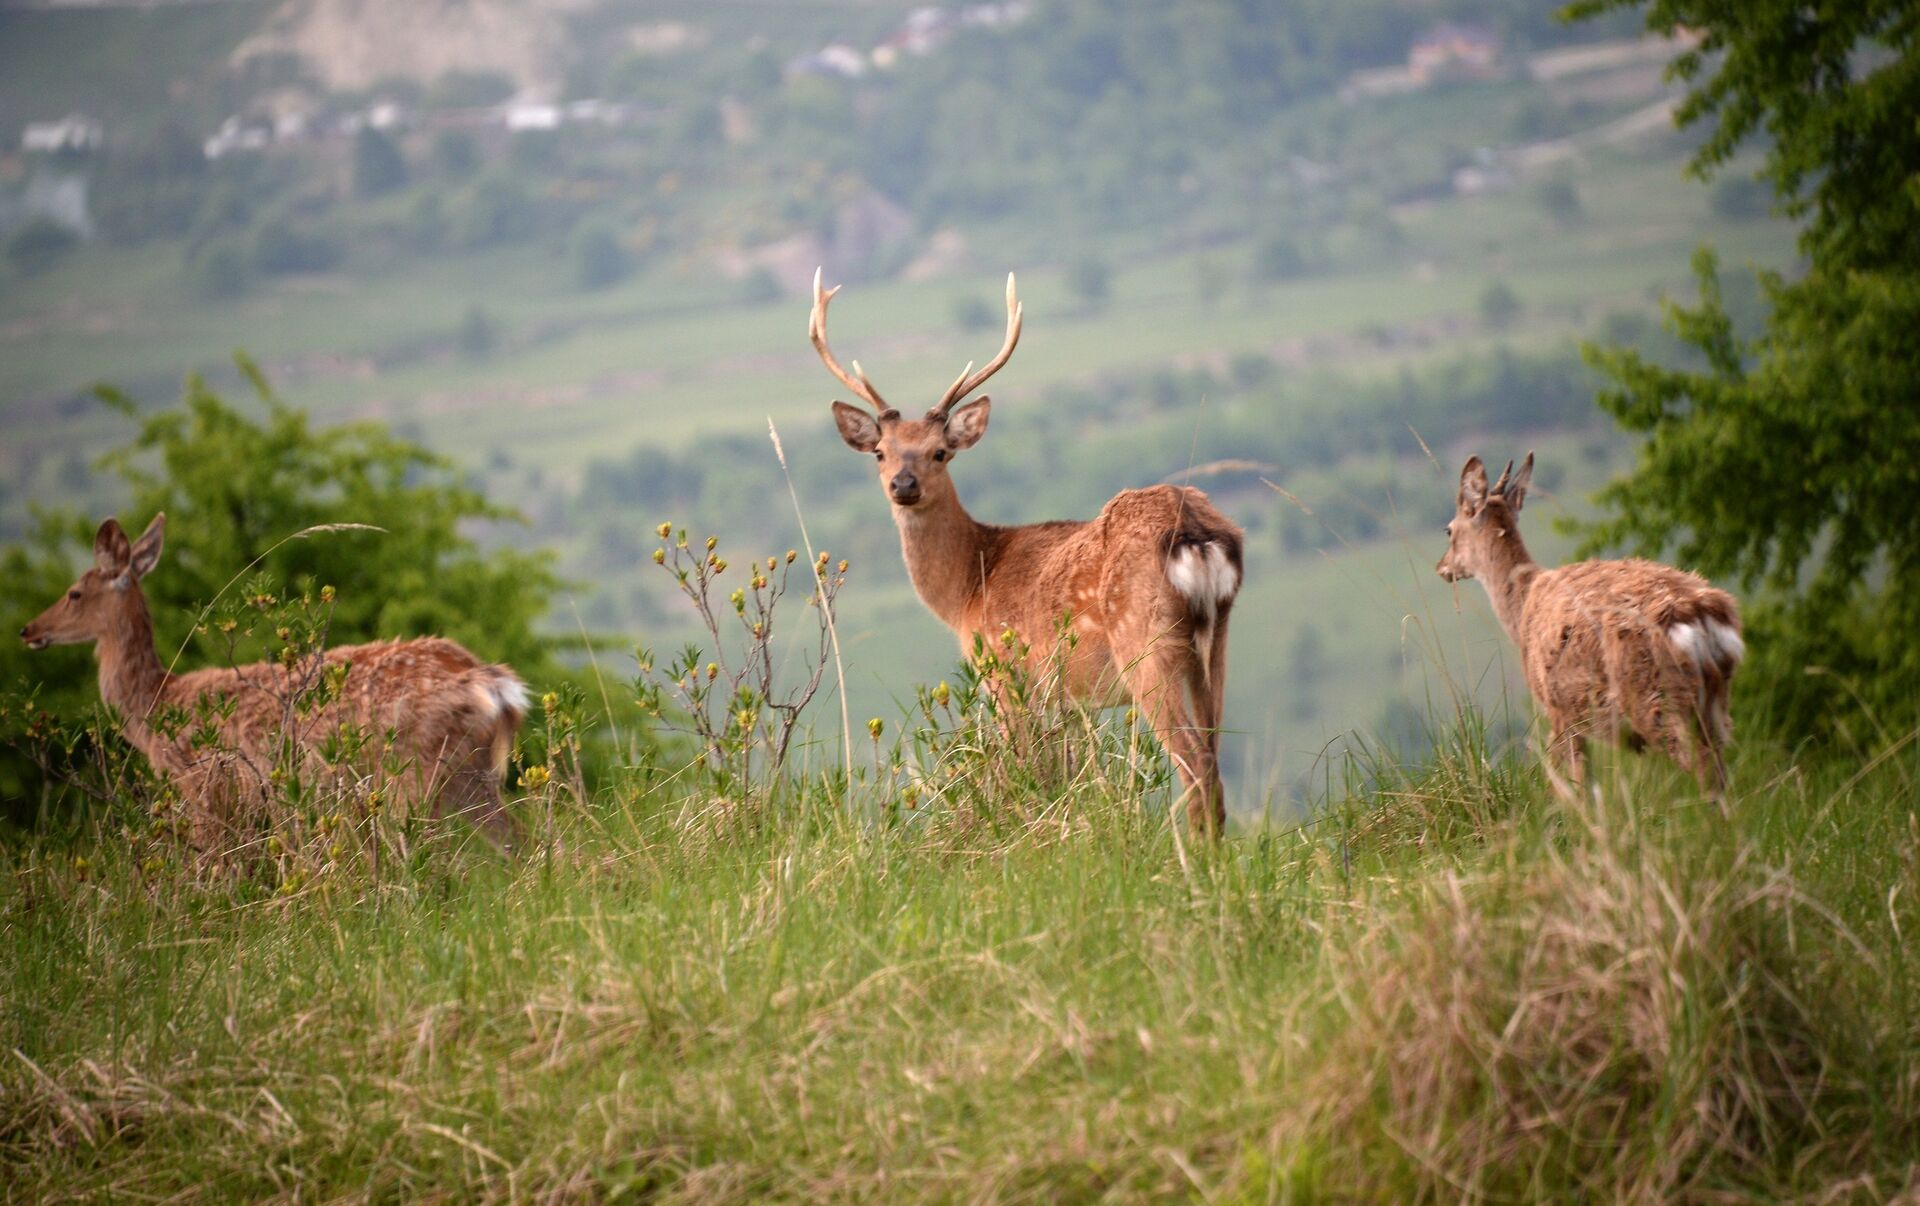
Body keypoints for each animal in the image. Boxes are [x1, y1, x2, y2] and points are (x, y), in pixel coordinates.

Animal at [20, 514, 528, 852]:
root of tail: (489, 682)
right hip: (468, 773)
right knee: (520, 843)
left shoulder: (203, 787)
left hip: (414, 770)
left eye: (74, 594)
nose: (28, 630)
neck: (155, 707)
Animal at [812, 269, 1244, 834]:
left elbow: (1026, 771)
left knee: (1192, 759)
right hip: (1216, 638)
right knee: (1214, 758)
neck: (969, 589)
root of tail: (1196, 533)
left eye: (940, 452)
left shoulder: (1005, 673)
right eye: (880, 452)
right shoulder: (1063, 700)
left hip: (1145, 640)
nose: (903, 485)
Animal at [1436, 453, 1744, 799]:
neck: (1522, 608)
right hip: (1715, 701)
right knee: (1719, 767)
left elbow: (1577, 785)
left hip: (1653, 694)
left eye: (1449, 529)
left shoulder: (1557, 709)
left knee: (1698, 763)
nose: (1442, 567)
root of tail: (1702, 615)